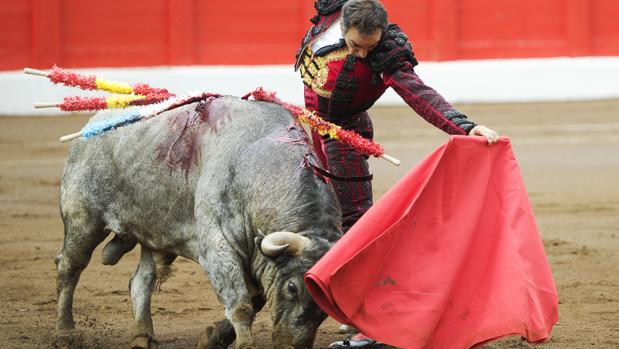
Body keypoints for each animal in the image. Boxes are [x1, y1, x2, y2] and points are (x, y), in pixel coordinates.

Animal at [54, 96, 344, 348]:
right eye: (292, 288)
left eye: (327, 306)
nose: (293, 345)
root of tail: (93, 124)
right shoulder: (217, 248)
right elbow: (241, 305)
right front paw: (243, 344)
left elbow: (252, 300)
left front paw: (213, 338)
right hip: (83, 218)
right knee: (69, 265)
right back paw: (65, 332)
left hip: (152, 233)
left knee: (140, 281)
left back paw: (142, 335)